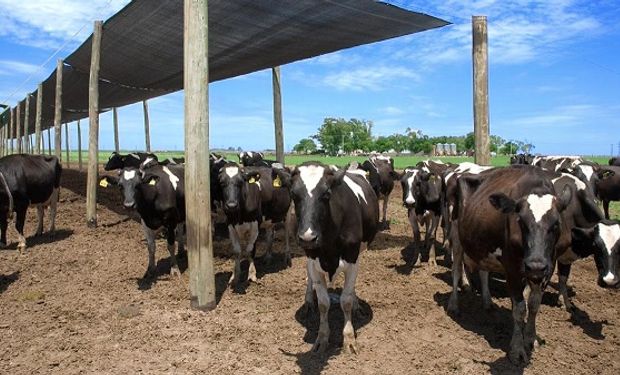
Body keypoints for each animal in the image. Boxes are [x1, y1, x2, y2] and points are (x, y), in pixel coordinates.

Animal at [290, 162, 378, 356]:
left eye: (326, 194)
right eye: (294, 195)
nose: (308, 237)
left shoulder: (352, 257)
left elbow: (345, 300)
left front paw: (349, 339)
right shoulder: (313, 258)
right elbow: (324, 303)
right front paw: (321, 339)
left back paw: (356, 304)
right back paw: (308, 302)